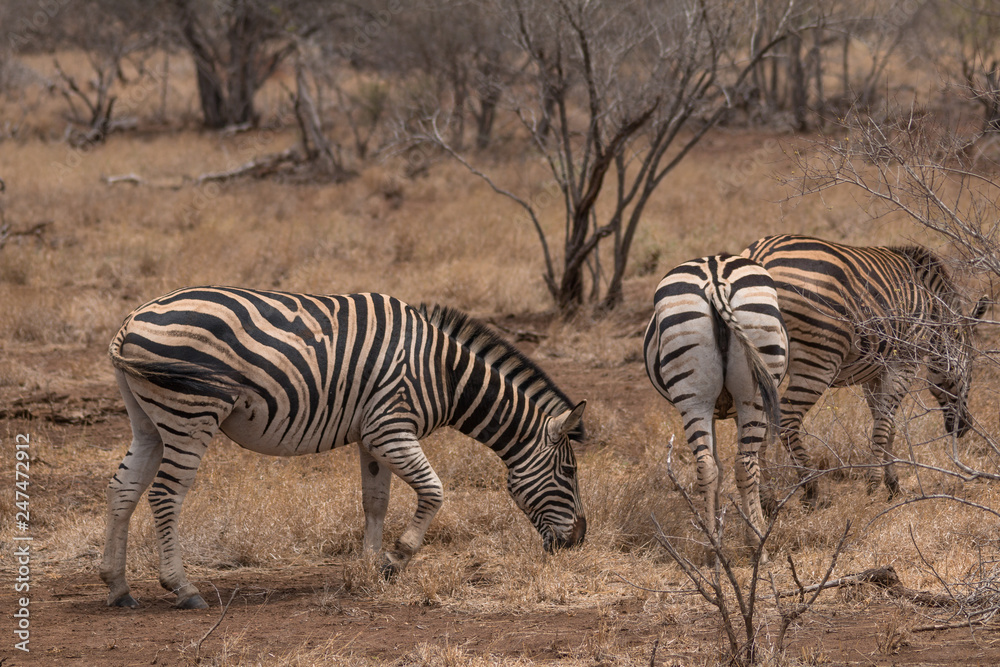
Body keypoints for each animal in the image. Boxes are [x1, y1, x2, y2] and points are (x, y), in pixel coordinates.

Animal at [101, 287, 587, 609]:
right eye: (569, 473)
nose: (579, 541)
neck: (446, 374)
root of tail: (131, 320)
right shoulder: (392, 428)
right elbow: (434, 492)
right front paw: (395, 559)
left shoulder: (374, 436)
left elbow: (375, 500)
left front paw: (369, 567)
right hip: (192, 413)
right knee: (166, 495)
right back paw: (183, 589)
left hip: (148, 420)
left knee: (123, 488)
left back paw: (117, 586)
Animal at [644, 254, 788, 555]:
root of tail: (715, 277)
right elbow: (755, 465)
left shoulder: (712, 410)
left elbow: (720, 467)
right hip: (753, 395)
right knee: (745, 463)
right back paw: (757, 544)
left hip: (694, 396)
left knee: (707, 466)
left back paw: (713, 548)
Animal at [742, 234, 989, 503]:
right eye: (971, 370)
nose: (965, 428)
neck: (932, 309)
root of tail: (761, 255)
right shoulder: (903, 363)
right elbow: (883, 425)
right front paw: (873, 485)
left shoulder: (874, 372)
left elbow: (886, 424)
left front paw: (893, 484)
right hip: (819, 358)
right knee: (787, 418)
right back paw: (811, 490)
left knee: (759, 422)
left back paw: (766, 499)